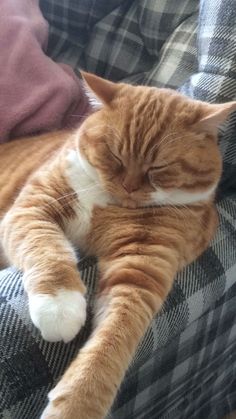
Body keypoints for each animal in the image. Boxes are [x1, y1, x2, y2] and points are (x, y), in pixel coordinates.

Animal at [0, 73, 235, 419]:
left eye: (158, 168)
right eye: (114, 155)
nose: (129, 187)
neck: (106, 202)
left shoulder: (140, 269)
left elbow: (112, 341)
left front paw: (77, 405)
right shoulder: (31, 208)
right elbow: (46, 246)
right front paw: (59, 304)